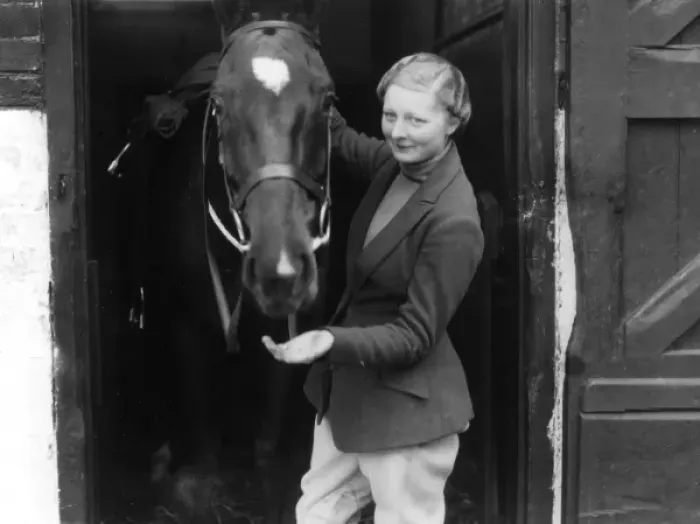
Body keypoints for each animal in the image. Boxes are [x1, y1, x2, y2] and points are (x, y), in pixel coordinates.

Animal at [111, 1, 336, 521]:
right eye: (218, 103)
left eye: (327, 99)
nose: (280, 270)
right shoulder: (184, 325)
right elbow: (202, 437)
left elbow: (269, 436)